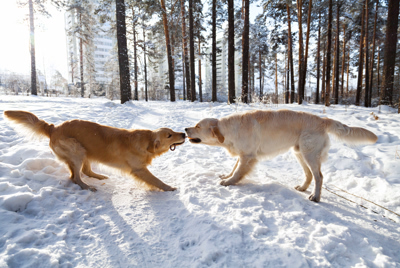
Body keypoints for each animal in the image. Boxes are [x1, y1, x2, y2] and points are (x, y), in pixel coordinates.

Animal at [4, 110, 186, 192]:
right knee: (75, 177)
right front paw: (169, 188)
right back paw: (87, 187)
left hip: (86, 151)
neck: (146, 141)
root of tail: (53, 128)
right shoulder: (139, 169)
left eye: (173, 131)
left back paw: (99, 176)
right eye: (169, 135)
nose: (184, 133)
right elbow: (156, 180)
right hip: (77, 150)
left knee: (85, 171)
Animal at [185, 109, 378, 201]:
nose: (185, 129)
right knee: (309, 175)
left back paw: (315, 197)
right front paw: (227, 176)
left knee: (319, 177)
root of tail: (323, 120)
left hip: (310, 153)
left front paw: (228, 182)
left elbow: (238, 172)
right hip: (299, 152)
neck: (229, 130)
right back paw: (303, 188)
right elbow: (234, 168)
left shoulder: (248, 155)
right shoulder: (243, 154)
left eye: (198, 126)